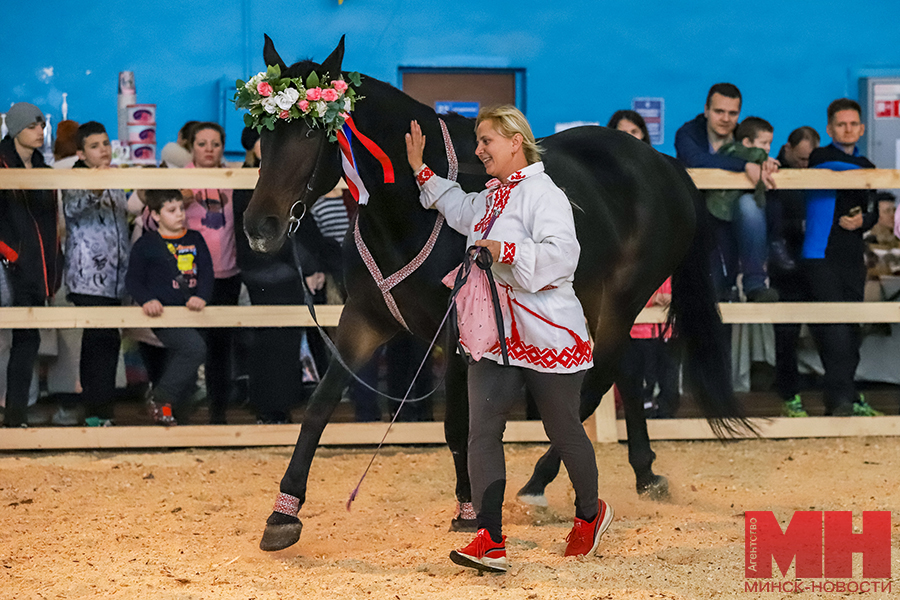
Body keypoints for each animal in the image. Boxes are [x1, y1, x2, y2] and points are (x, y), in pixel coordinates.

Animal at [244, 36, 744, 552]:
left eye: (311, 133)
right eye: (262, 134)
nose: (259, 226)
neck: (409, 213)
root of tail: (663, 163)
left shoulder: (458, 332)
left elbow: (458, 424)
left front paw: (468, 511)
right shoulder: (364, 319)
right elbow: (319, 408)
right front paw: (283, 513)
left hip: (623, 299)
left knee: (597, 380)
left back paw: (538, 484)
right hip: (593, 302)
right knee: (618, 372)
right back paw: (643, 473)